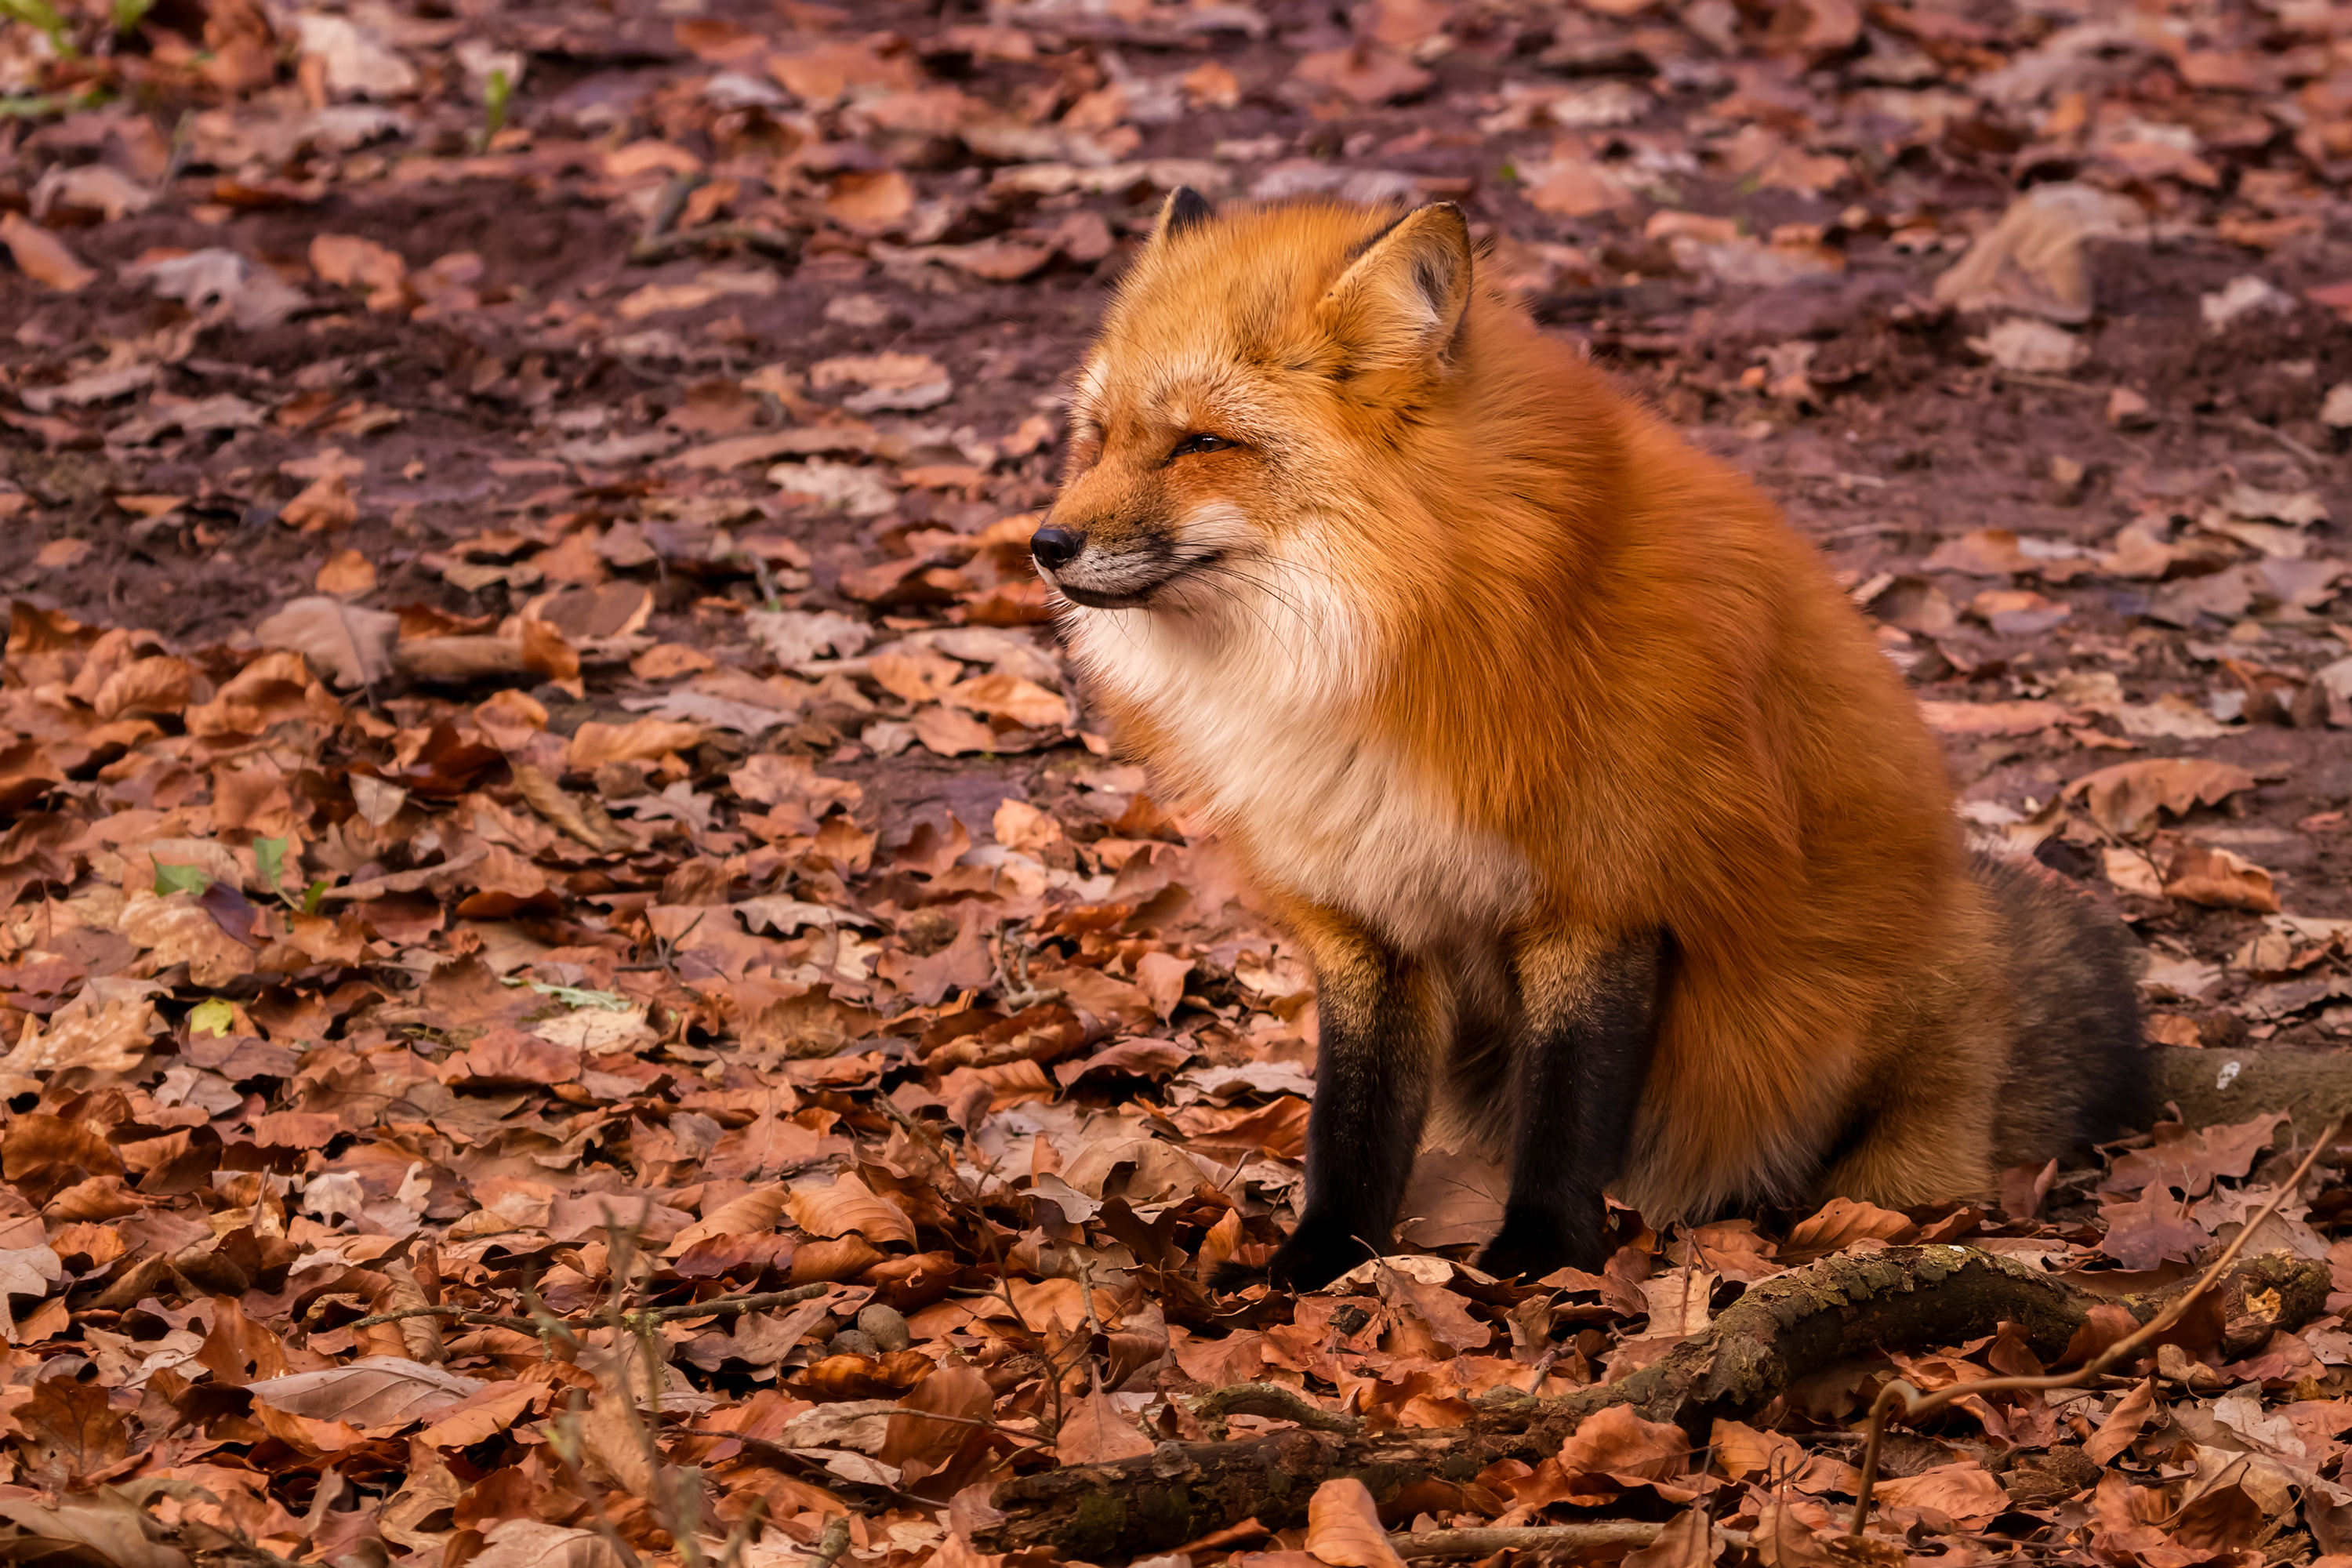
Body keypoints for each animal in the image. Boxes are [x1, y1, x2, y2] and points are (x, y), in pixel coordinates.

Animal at [1030, 190, 2154, 1298]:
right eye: (1099, 438)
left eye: (1200, 444)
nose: (1044, 544)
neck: (1403, 638)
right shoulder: (1367, 910)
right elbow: (1352, 1120)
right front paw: (1320, 1264)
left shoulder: (1604, 893)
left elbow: (1569, 1106)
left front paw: (1541, 1258)